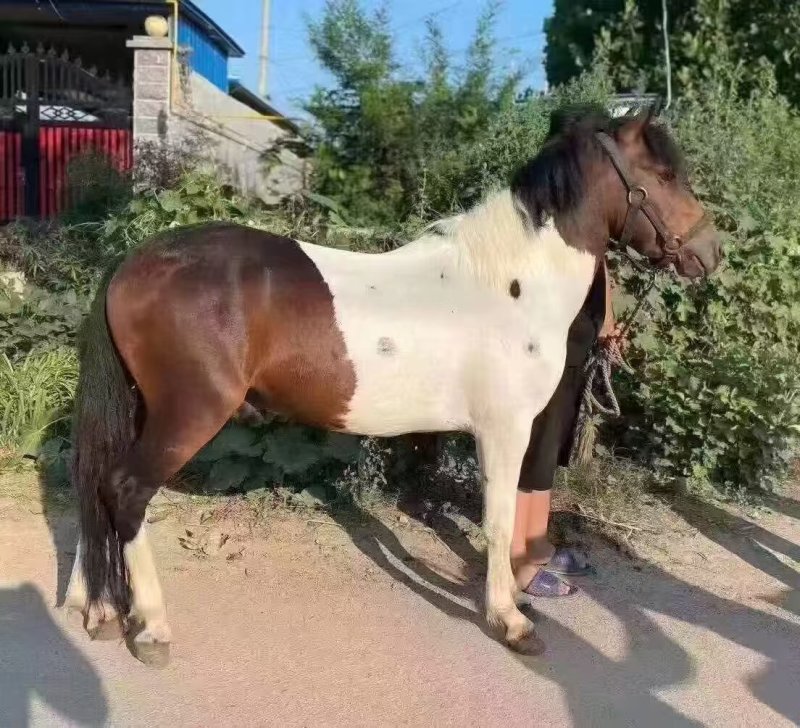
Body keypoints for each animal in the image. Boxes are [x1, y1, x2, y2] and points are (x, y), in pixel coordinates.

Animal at [64, 107, 722, 667]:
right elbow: (498, 520)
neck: (509, 283)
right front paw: (509, 620)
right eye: (664, 173)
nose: (709, 251)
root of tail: (133, 262)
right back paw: (152, 627)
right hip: (188, 415)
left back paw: (96, 609)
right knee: (125, 490)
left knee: (97, 486)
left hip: (142, 410)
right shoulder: (503, 429)